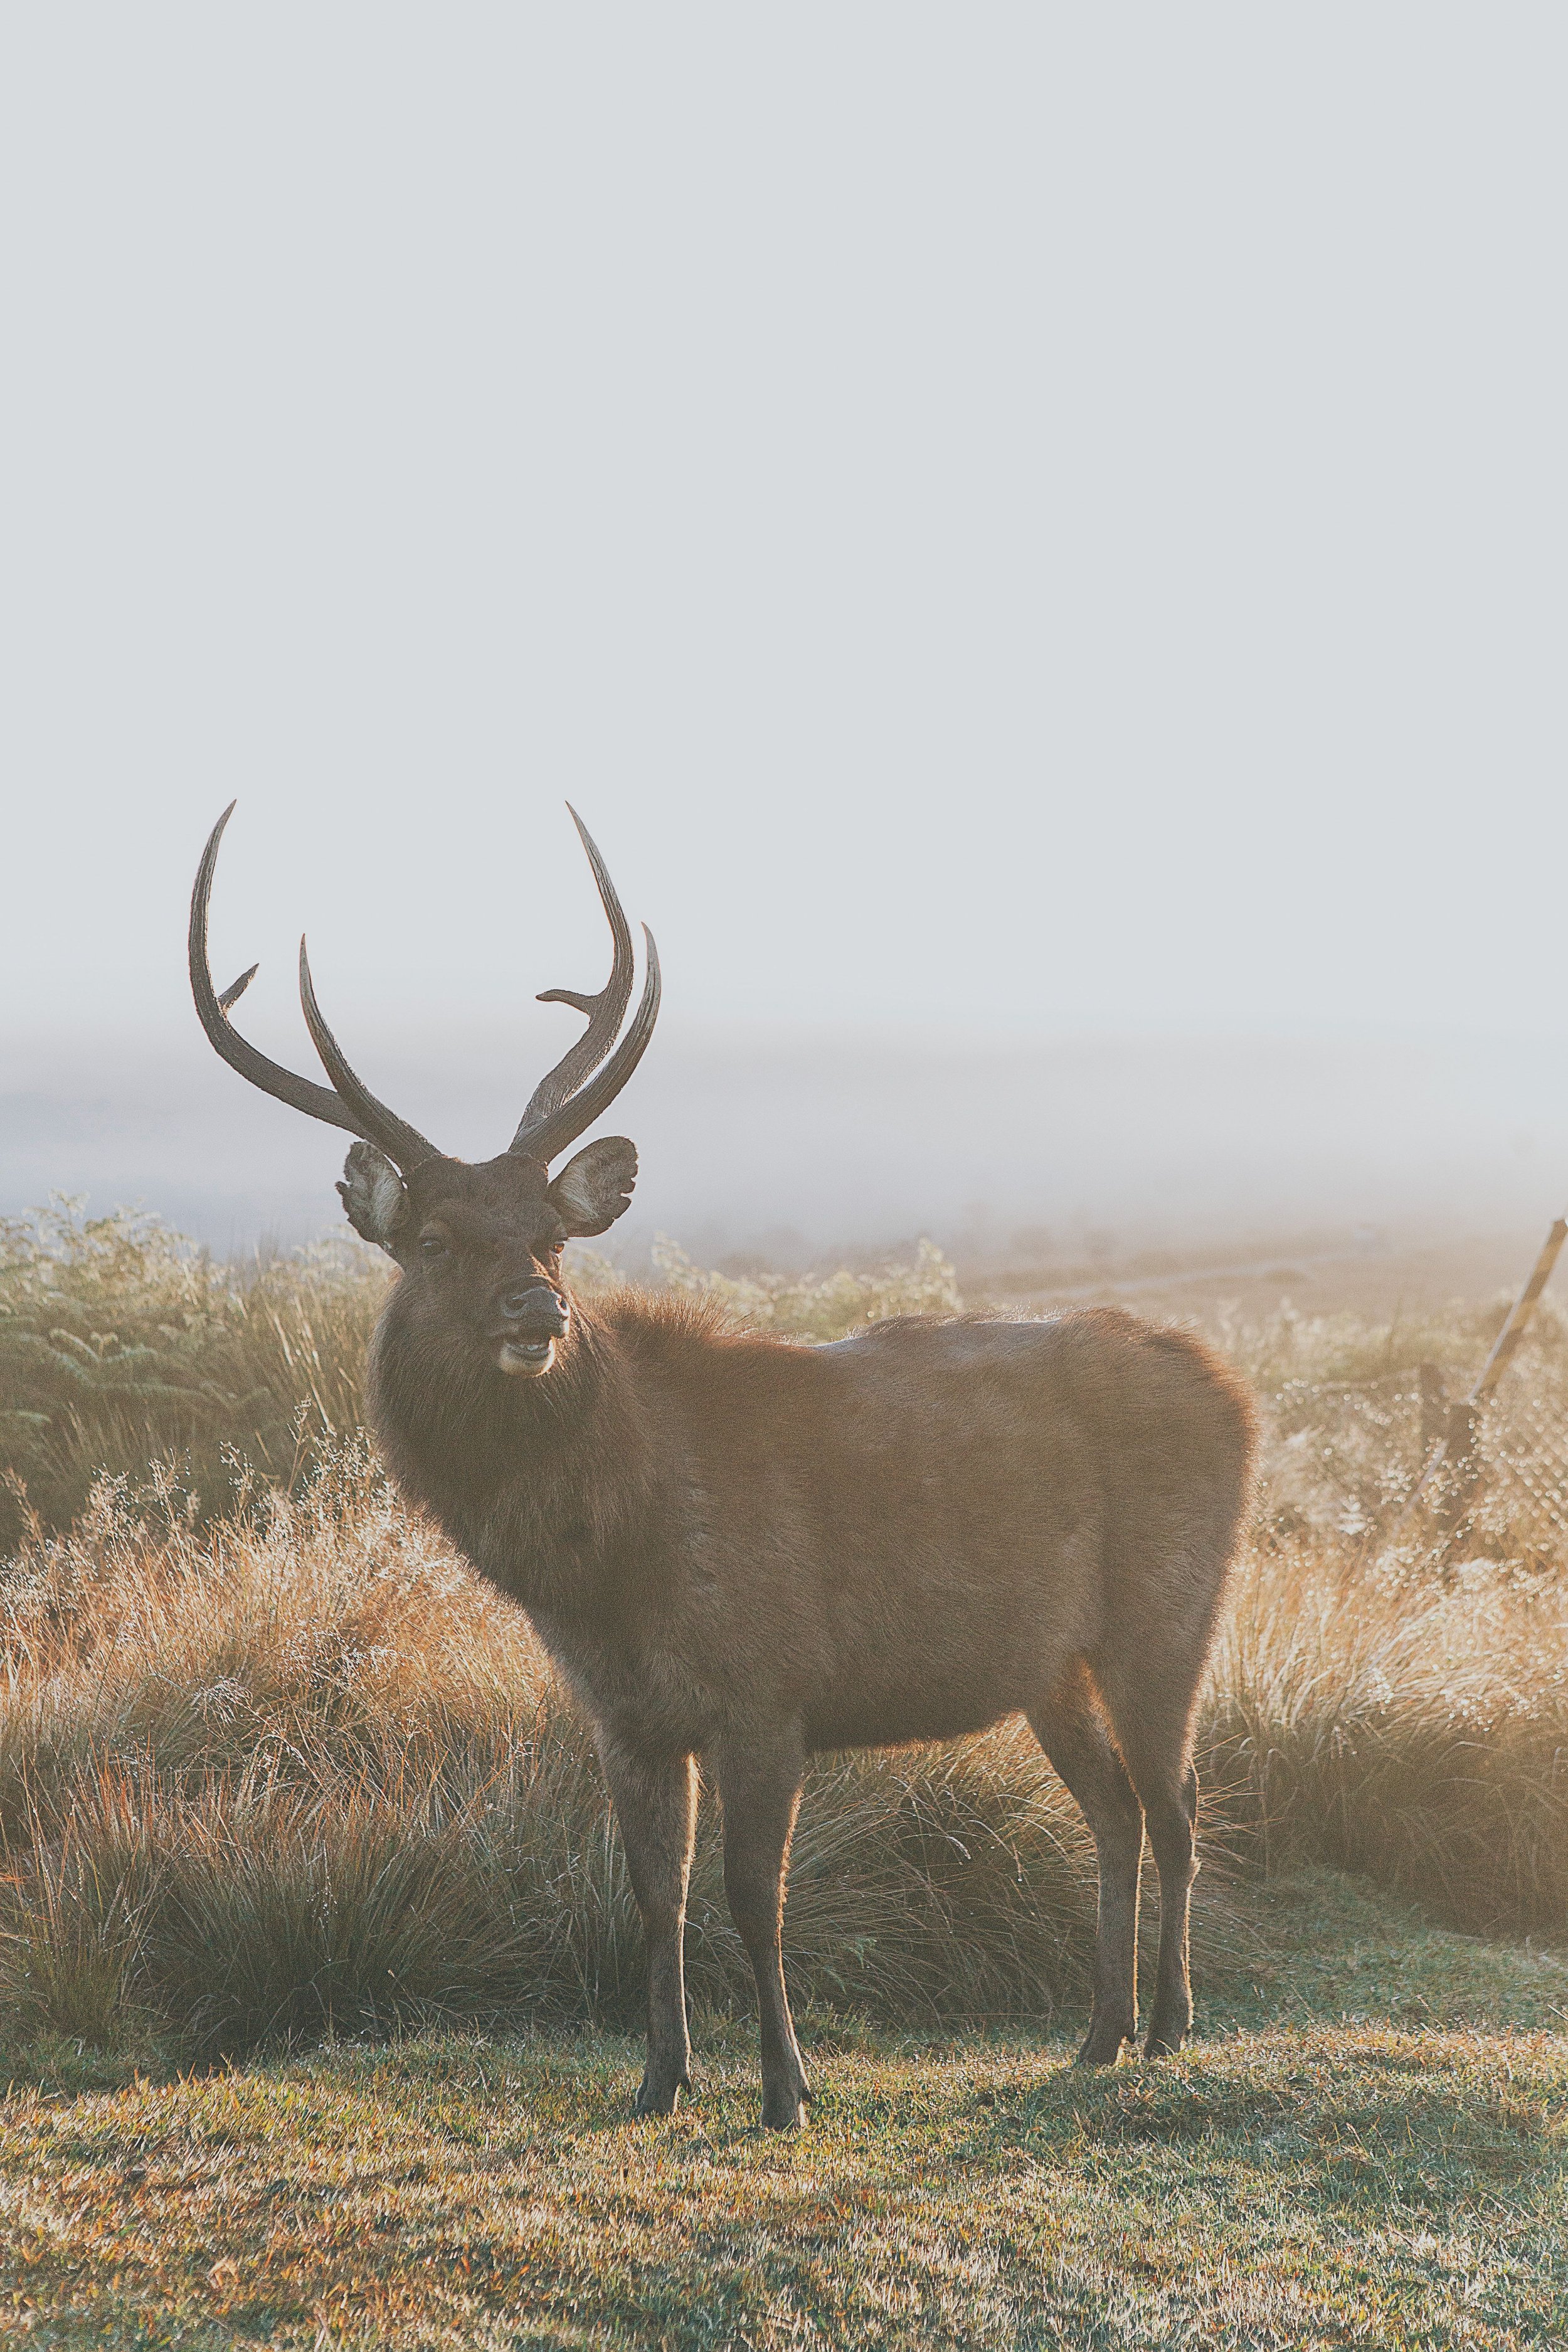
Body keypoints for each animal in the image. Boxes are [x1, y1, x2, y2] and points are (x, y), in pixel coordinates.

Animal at [190, 801, 1255, 2130]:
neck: (605, 1568)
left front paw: (787, 2089)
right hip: (1049, 1662)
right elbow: (656, 1895)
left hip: (1171, 1608)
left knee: (1178, 1804)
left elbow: (757, 1896)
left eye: (551, 1235)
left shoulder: (768, 1685)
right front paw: (659, 2080)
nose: (536, 1311)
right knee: (1114, 1811)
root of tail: (1236, 1392)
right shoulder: (627, 1716)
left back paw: (1167, 2028)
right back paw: (1098, 2035)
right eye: (433, 1238)